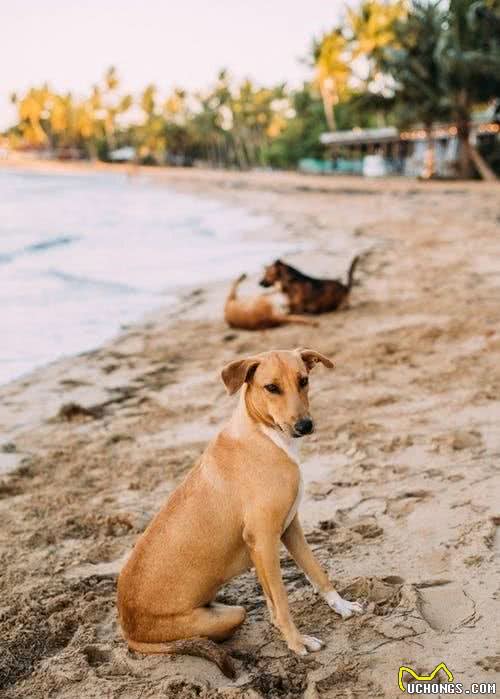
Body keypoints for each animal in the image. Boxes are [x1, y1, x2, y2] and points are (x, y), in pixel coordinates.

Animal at [119, 350, 366, 680]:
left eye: (304, 380)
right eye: (271, 387)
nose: (305, 426)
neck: (264, 435)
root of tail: (128, 629)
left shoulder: (288, 529)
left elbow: (314, 573)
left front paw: (341, 606)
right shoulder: (263, 540)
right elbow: (282, 600)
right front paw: (297, 642)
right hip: (228, 616)